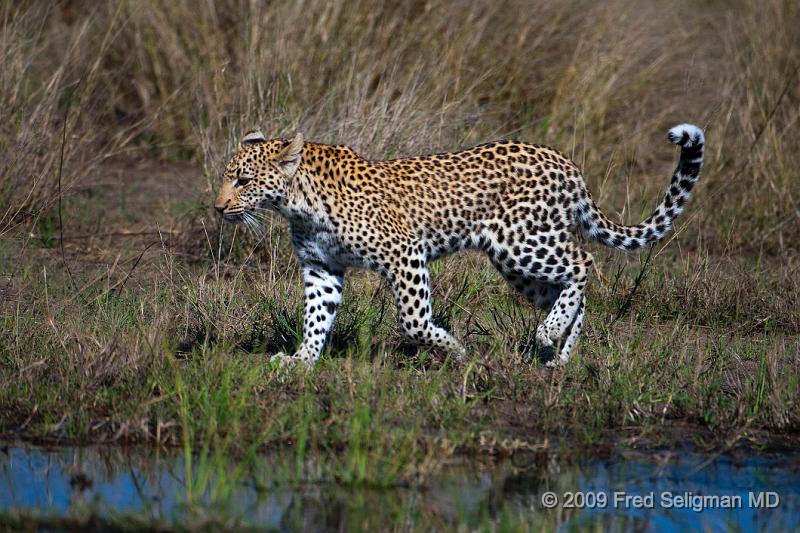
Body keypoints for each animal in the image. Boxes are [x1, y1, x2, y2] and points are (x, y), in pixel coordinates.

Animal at [214, 124, 708, 366]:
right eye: (228, 177)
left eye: (243, 181)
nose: (218, 207)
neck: (297, 203)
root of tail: (566, 162)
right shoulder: (321, 268)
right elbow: (316, 318)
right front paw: (302, 360)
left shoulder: (404, 252)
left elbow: (413, 319)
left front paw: (453, 349)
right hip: (516, 263)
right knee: (568, 288)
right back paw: (560, 352)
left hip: (522, 241)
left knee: (583, 261)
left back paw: (550, 333)